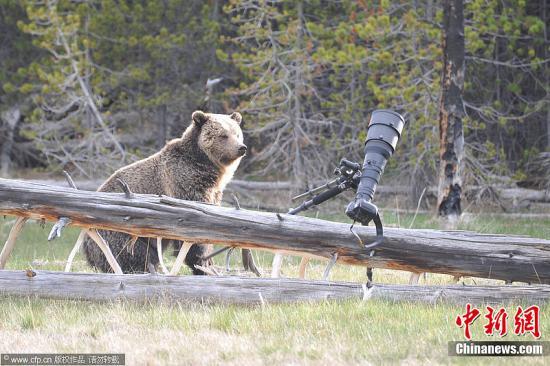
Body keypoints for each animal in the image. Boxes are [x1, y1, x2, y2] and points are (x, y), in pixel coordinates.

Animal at [83, 111, 247, 274]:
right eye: (223, 135)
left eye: (237, 134)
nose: (241, 148)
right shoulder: (183, 184)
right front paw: (203, 264)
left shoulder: (213, 192)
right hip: (122, 232)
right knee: (138, 255)